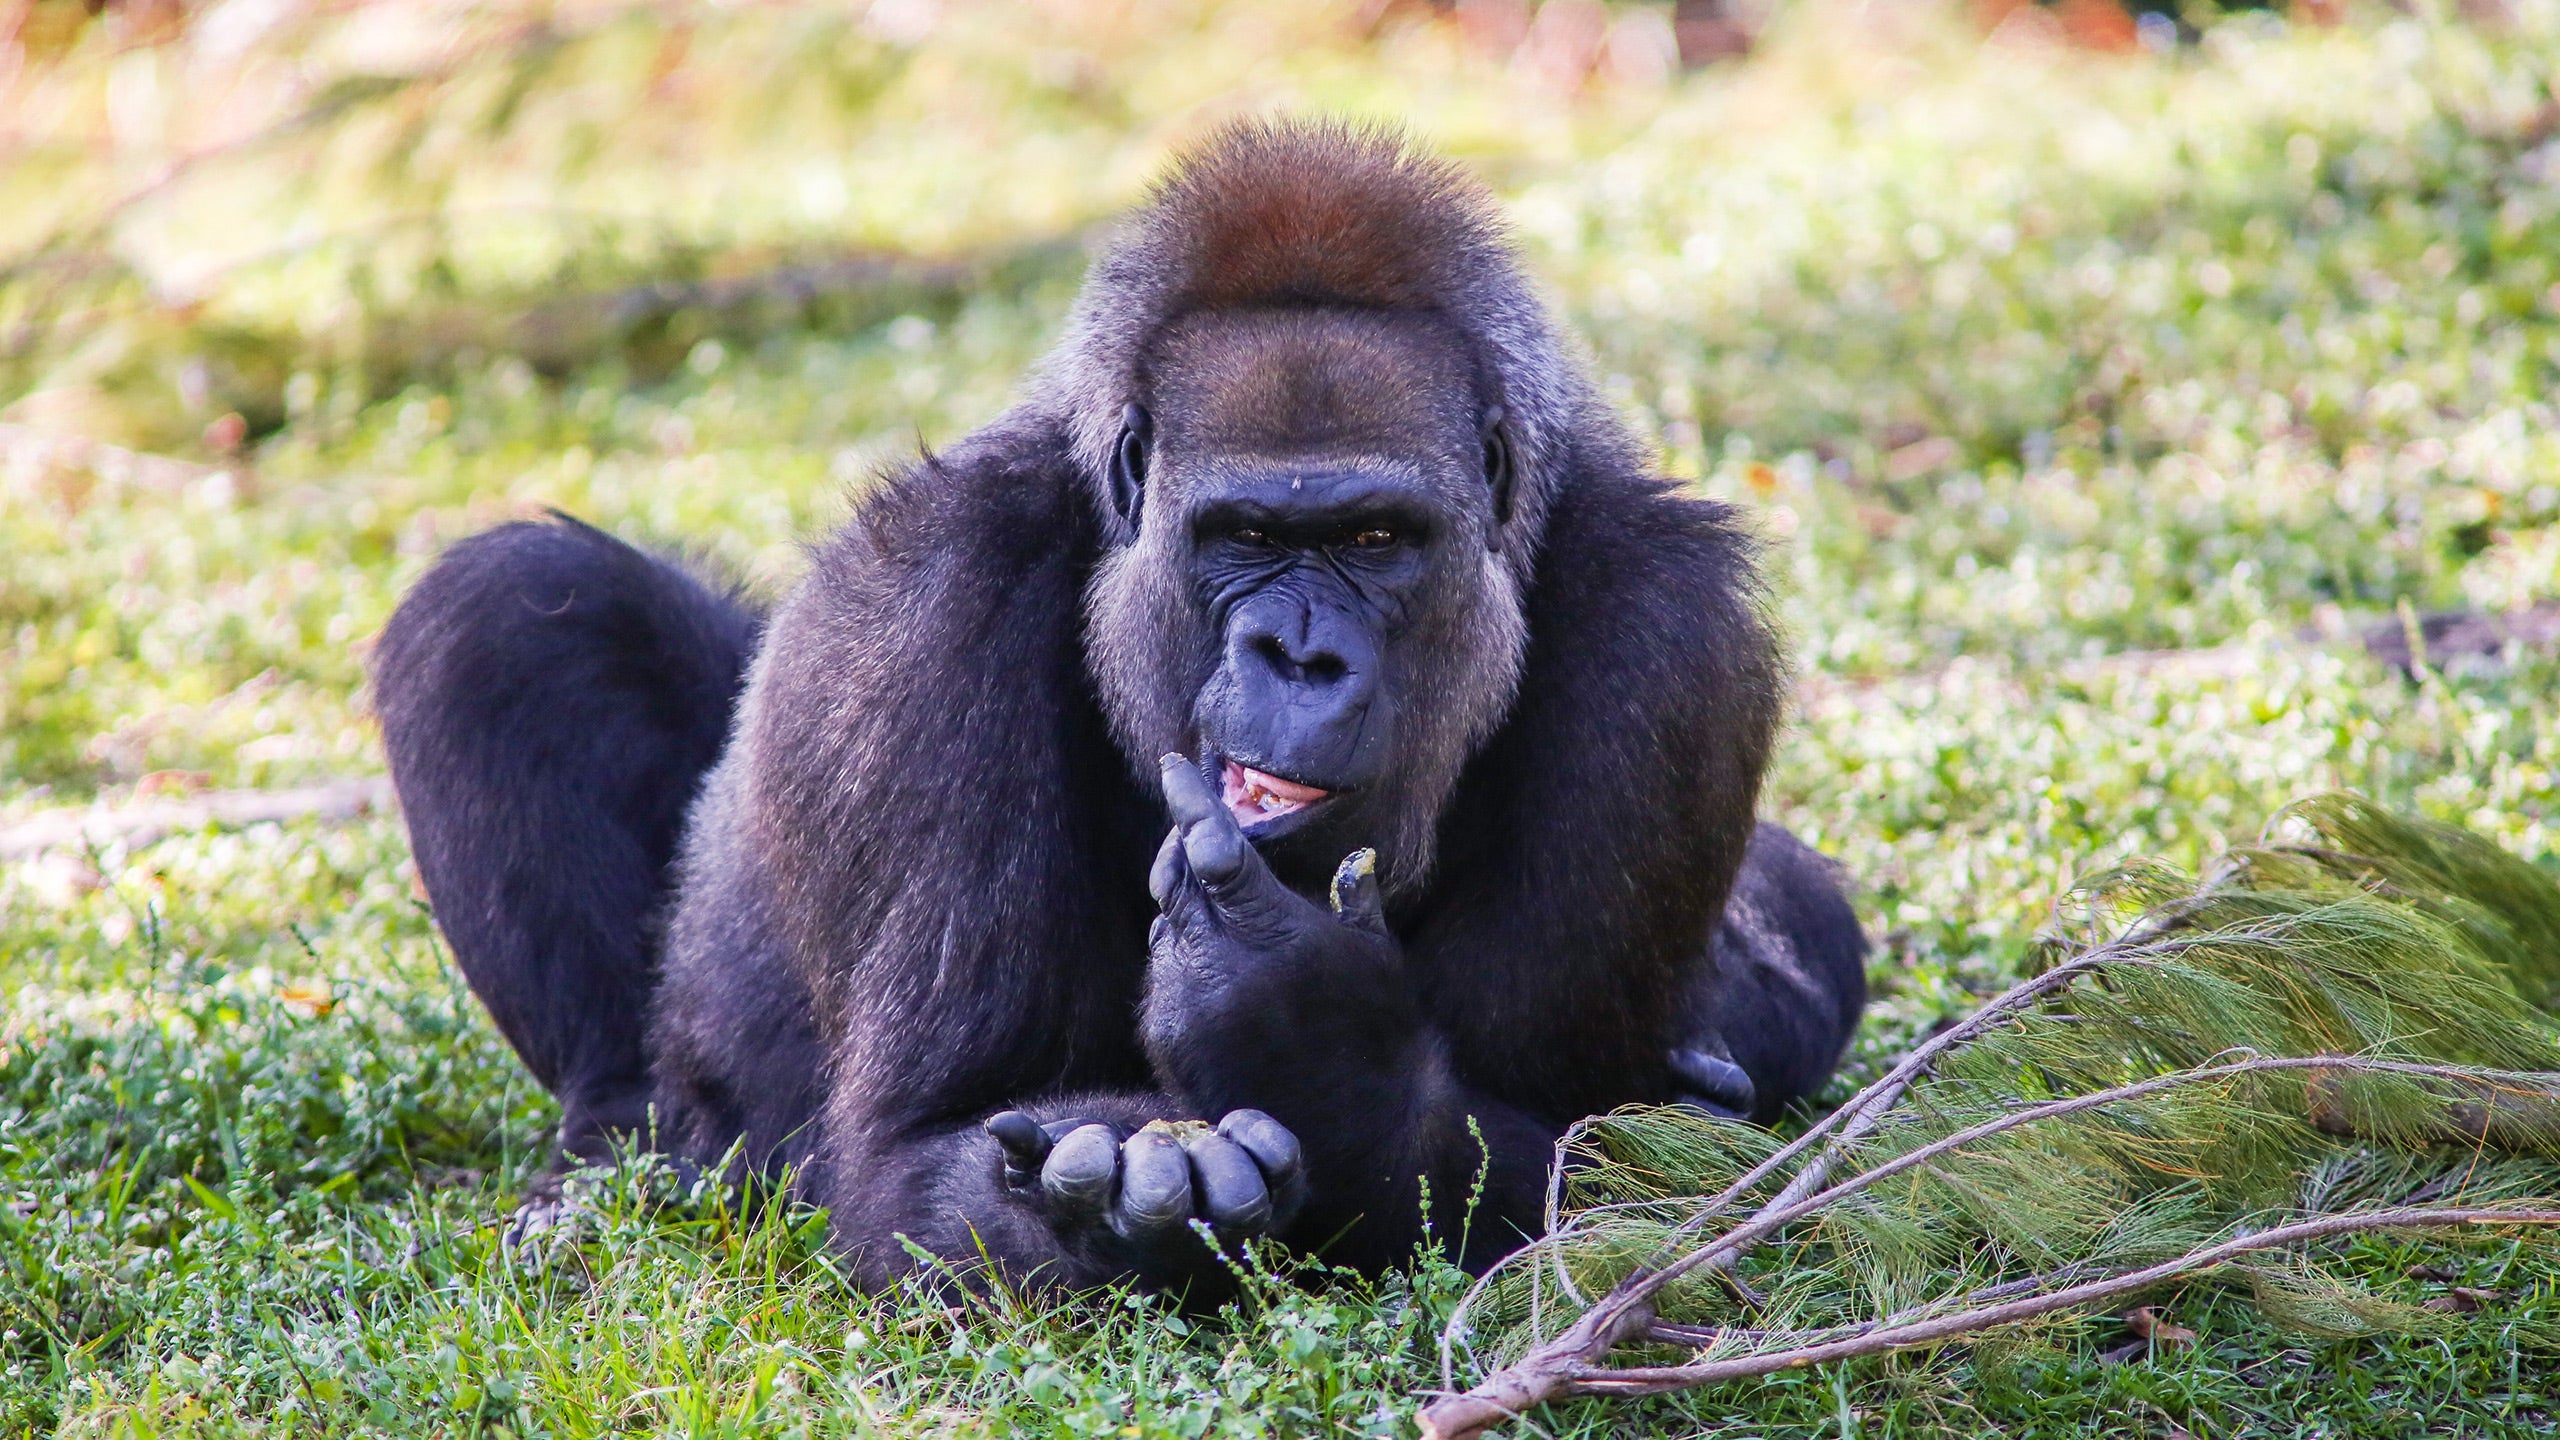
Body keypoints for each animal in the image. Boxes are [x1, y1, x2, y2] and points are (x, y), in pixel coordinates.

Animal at [373, 120, 1863, 1291]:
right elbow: (912, 1155)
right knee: (510, 610)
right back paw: (613, 1159)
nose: (1299, 656)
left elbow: (1601, 1155)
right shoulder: (932, 598)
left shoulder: (1675, 642)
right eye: (1243, 537)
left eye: (1378, 539)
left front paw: (1324, 1054)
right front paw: (1138, 1198)